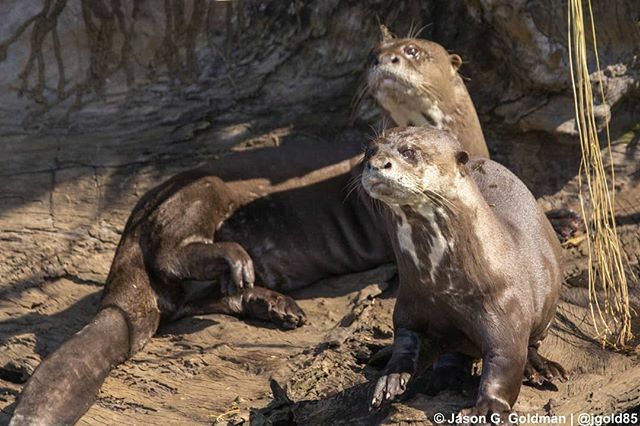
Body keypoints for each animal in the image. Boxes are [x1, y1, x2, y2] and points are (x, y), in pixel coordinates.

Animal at [362, 127, 567, 422]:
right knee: (455, 353)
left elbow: (505, 362)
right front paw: (390, 378)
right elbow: (405, 342)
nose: (377, 164)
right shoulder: (409, 305)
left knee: (531, 345)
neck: (444, 285)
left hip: (548, 309)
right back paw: (446, 376)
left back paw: (540, 369)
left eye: (409, 152)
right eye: (369, 151)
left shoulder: (505, 311)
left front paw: (488, 408)